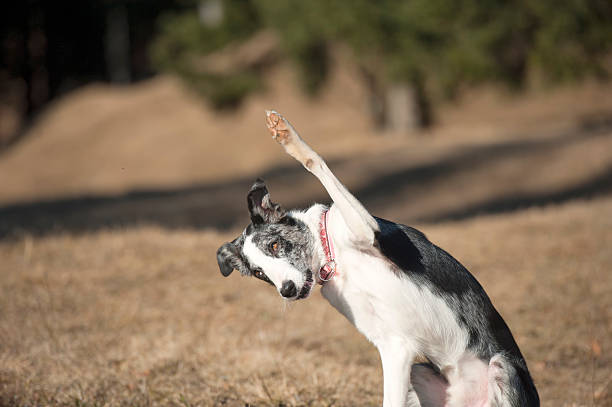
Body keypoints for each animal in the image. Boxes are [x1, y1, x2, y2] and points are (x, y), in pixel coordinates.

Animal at [216, 111, 540, 407]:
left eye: (274, 245)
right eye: (260, 274)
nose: (287, 291)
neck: (335, 257)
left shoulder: (366, 230)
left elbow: (315, 162)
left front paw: (287, 137)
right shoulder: (394, 347)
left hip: (502, 368)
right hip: (419, 374)